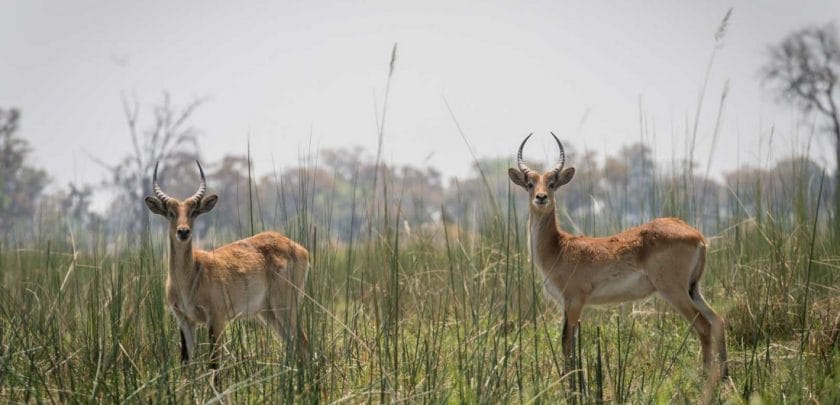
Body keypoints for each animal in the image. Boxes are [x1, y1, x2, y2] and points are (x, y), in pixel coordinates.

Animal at [144, 160, 312, 376]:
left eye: (193, 212)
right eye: (171, 213)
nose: (183, 232)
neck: (191, 276)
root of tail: (300, 248)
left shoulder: (216, 318)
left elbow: (214, 364)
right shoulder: (184, 320)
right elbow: (186, 363)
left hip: (285, 306)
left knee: (302, 341)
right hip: (268, 312)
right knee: (290, 343)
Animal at [508, 133, 724, 376]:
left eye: (552, 183)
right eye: (530, 184)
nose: (541, 197)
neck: (558, 248)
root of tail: (698, 235)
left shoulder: (575, 301)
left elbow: (567, 343)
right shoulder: (565, 304)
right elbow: (567, 342)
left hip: (674, 290)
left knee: (704, 326)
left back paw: (705, 376)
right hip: (693, 289)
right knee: (719, 321)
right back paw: (725, 374)